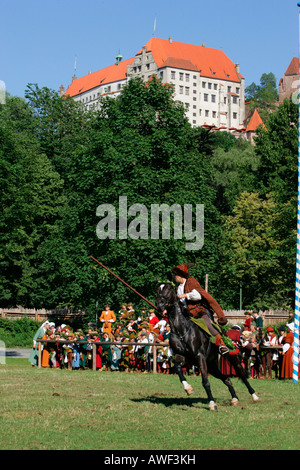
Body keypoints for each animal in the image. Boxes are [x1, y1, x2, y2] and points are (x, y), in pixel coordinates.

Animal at [156, 282, 258, 412]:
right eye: (158, 289)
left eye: (168, 289)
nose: (159, 304)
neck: (182, 331)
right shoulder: (182, 357)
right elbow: (178, 368)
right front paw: (188, 388)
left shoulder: (200, 357)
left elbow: (205, 382)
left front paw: (212, 404)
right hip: (212, 366)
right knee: (227, 379)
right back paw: (234, 399)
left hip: (230, 358)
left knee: (242, 374)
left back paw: (254, 396)